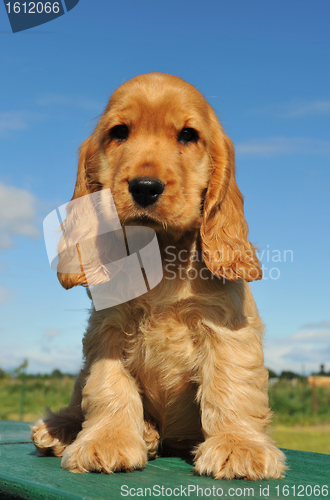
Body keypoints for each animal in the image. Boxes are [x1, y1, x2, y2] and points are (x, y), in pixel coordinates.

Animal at [32, 73, 286, 480]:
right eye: (119, 132)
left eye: (188, 135)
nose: (145, 187)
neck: (161, 253)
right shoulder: (108, 329)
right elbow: (106, 386)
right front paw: (107, 441)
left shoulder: (225, 326)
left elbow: (231, 383)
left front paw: (239, 447)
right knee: (79, 395)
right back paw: (62, 429)